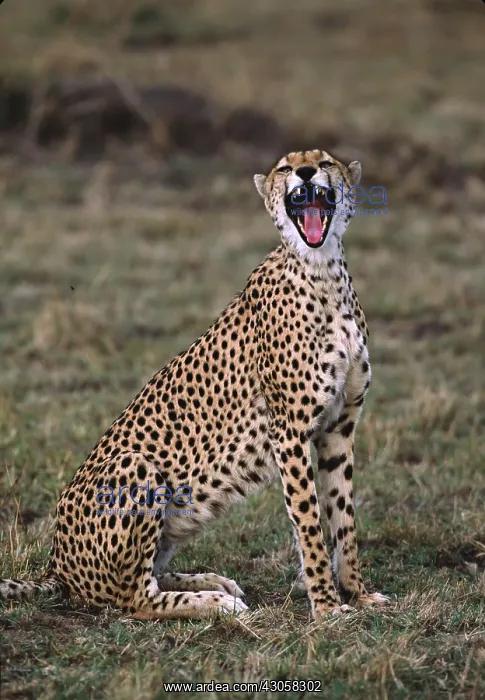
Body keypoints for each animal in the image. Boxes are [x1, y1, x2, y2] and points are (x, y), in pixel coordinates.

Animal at [0, 149, 390, 621]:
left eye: (325, 161)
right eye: (284, 167)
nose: (305, 171)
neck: (323, 270)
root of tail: (56, 566)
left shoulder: (338, 428)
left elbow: (343, 517)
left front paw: (358, 593)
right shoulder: (289, 432)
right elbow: (311, 522)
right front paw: (328, 606)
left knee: (148, 577)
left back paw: (213, 581)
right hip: (135, 465)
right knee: (134, 599)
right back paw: (217, 602)